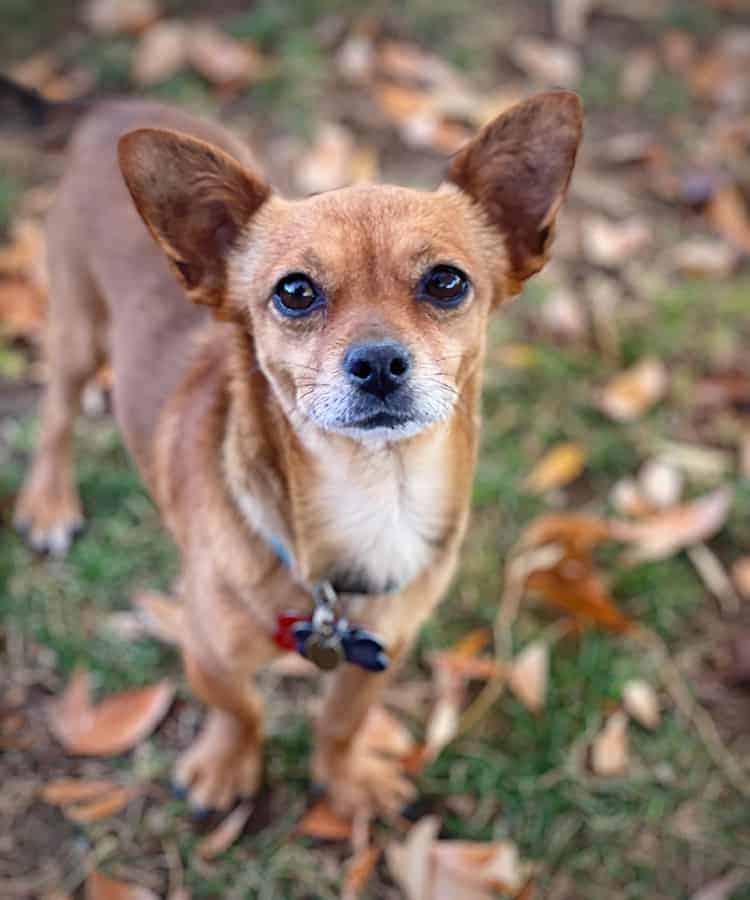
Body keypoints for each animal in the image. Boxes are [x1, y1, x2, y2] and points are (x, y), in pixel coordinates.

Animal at [11, 77, 584, 820]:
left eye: (446, 282)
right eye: (295, 292)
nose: (377, 363)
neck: (376, 497)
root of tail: (109, 104)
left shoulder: (385, 650)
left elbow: (343, 719)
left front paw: (346, 779)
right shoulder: (207, 650)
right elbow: (240, 709)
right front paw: (226, 768)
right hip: (75, 331)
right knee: (54, 416)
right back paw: (50, 502)